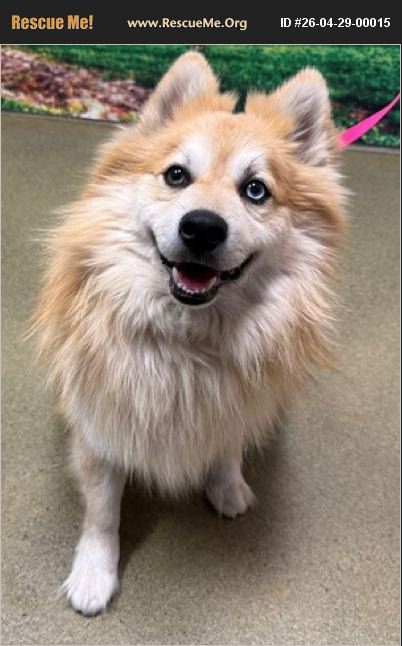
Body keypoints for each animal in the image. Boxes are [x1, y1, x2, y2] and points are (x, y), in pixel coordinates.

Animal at [32, 52, 346, 615]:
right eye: (177, 175)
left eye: (255, 190)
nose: (202, 227)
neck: (189, 341)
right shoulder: (100, 424)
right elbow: (102, 512)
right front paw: (94, 572)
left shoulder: (234, 405)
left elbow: (225, 446)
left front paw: (227, 485)